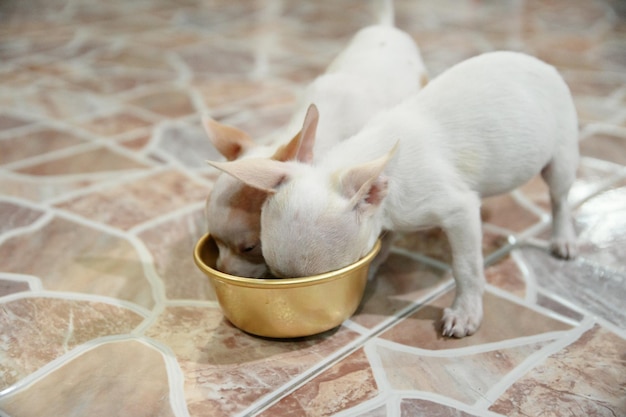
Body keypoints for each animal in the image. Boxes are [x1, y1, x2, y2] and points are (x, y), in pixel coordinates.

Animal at [211, 52, 580, 338]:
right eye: (273, 274)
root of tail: (538, 61)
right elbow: (385, 238)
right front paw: (375, 264)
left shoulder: (458, 211)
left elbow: (466, 267)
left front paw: (465, 312)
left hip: (561, 156)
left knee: (560, 198)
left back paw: (563, 238)